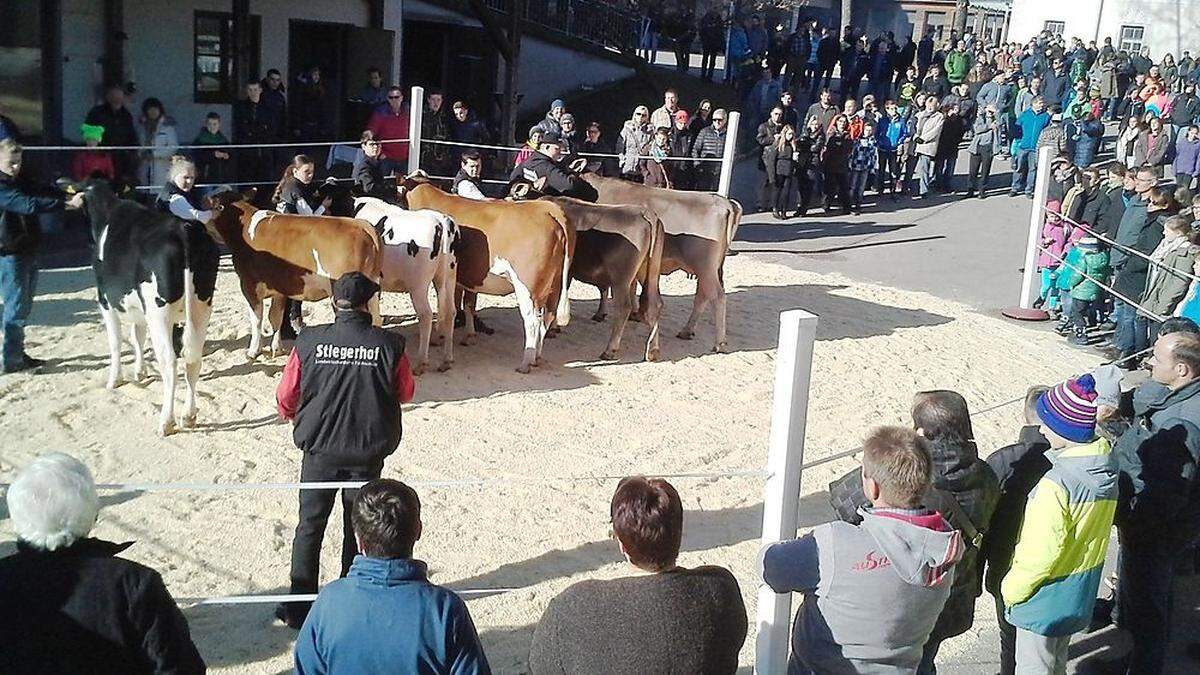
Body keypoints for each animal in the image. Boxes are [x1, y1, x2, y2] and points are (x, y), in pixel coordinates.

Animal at [78, 180, 222, 429]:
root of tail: (184, 230)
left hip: (159, 312)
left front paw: (115, 379)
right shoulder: (139, 309)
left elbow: (116, 342)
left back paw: (166, 420)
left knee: (169, 361)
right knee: (193, 358)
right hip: (201, 307)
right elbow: (137, 337)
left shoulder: (105, 301)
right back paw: (188, 415)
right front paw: (139, 371)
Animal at [208, 193, 381, 357]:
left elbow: (257, 319)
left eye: (213, 205)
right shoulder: (279, 287)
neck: (243, 228)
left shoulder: (249, 285)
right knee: (376, 320)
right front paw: (277, 348)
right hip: (371, 292)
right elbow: (275, 317)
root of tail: (361, 225)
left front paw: (253, 351)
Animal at [398, 178, 576, 372]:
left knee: (532, 322)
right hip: (555, 285)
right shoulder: (467, 278)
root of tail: (549, 210)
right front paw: (468, 335)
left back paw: (525, 363)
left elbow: (445, 306)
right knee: (547, 319)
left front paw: (439, 337)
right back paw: (536, 357)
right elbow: (467, 305)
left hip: (527, 287)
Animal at [578, 170, 739, 353]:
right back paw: (687, 331)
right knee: (703, 295)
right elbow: (630, 287)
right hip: (709, 269)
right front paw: (634, 313)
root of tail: (724, 201)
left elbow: (605, 288)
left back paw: (719, 343)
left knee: (717, 297)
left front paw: (602, 313)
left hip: (705, 266)